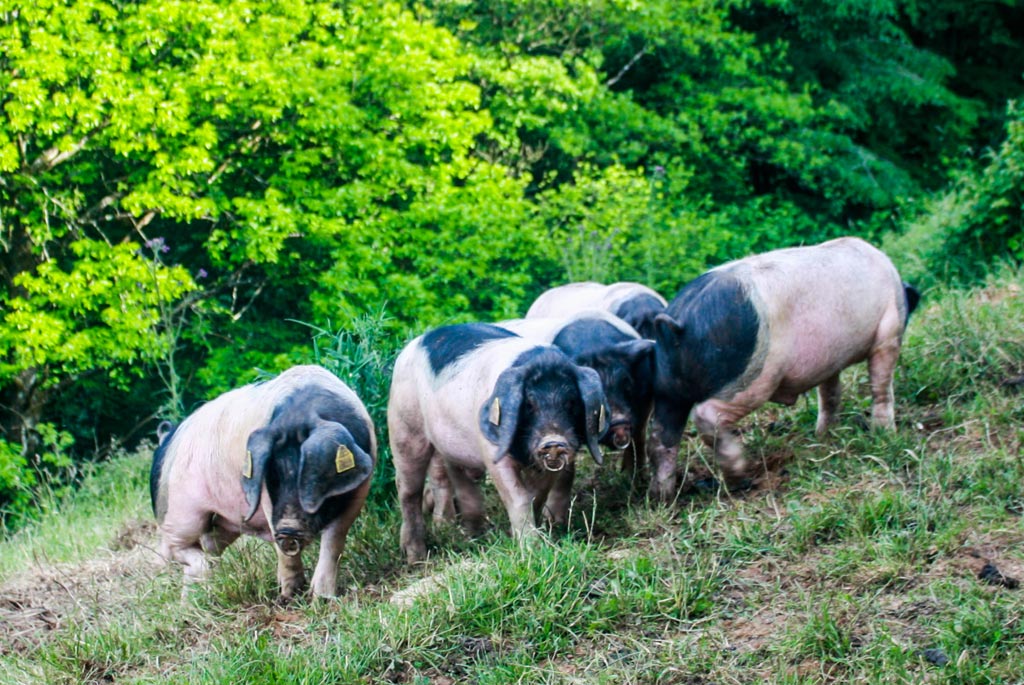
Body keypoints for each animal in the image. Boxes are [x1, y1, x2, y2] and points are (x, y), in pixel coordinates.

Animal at [151, 365, 375, 600]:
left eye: (310, 475)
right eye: (273, 476)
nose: (287, 529)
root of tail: (166, 439)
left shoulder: (360, 489)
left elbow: (334, 541)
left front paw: (322, 598)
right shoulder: (266, 498)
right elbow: (284, 552)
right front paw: (288, 597)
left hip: (222, 522)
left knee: (208, 546)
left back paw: (194, 598)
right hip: (180, 514)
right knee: (174, 549)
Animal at [388, 323, 610, 563]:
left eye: (571, 402)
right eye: (529, 404)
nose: (554, 441)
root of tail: (413, 344)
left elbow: (536, 495)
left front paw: (524, 537)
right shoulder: (492, 451)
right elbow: (519, 497)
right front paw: (532, 550)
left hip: (448, 444)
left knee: (447, 477)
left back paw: (461, 532)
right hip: (404, 426)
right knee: (408, 490)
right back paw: (416, 557)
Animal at [646, 237, 920, 501]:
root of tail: (679, 321)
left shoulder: (830, 362)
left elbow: (830, 394)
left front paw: (823, 435)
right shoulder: (888, 334)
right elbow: (881, 386)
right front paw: (886, 434)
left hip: (667, 389)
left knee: (661, 437)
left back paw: (663, 497)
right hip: (753, 376)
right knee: (705, 414)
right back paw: (740, 477)